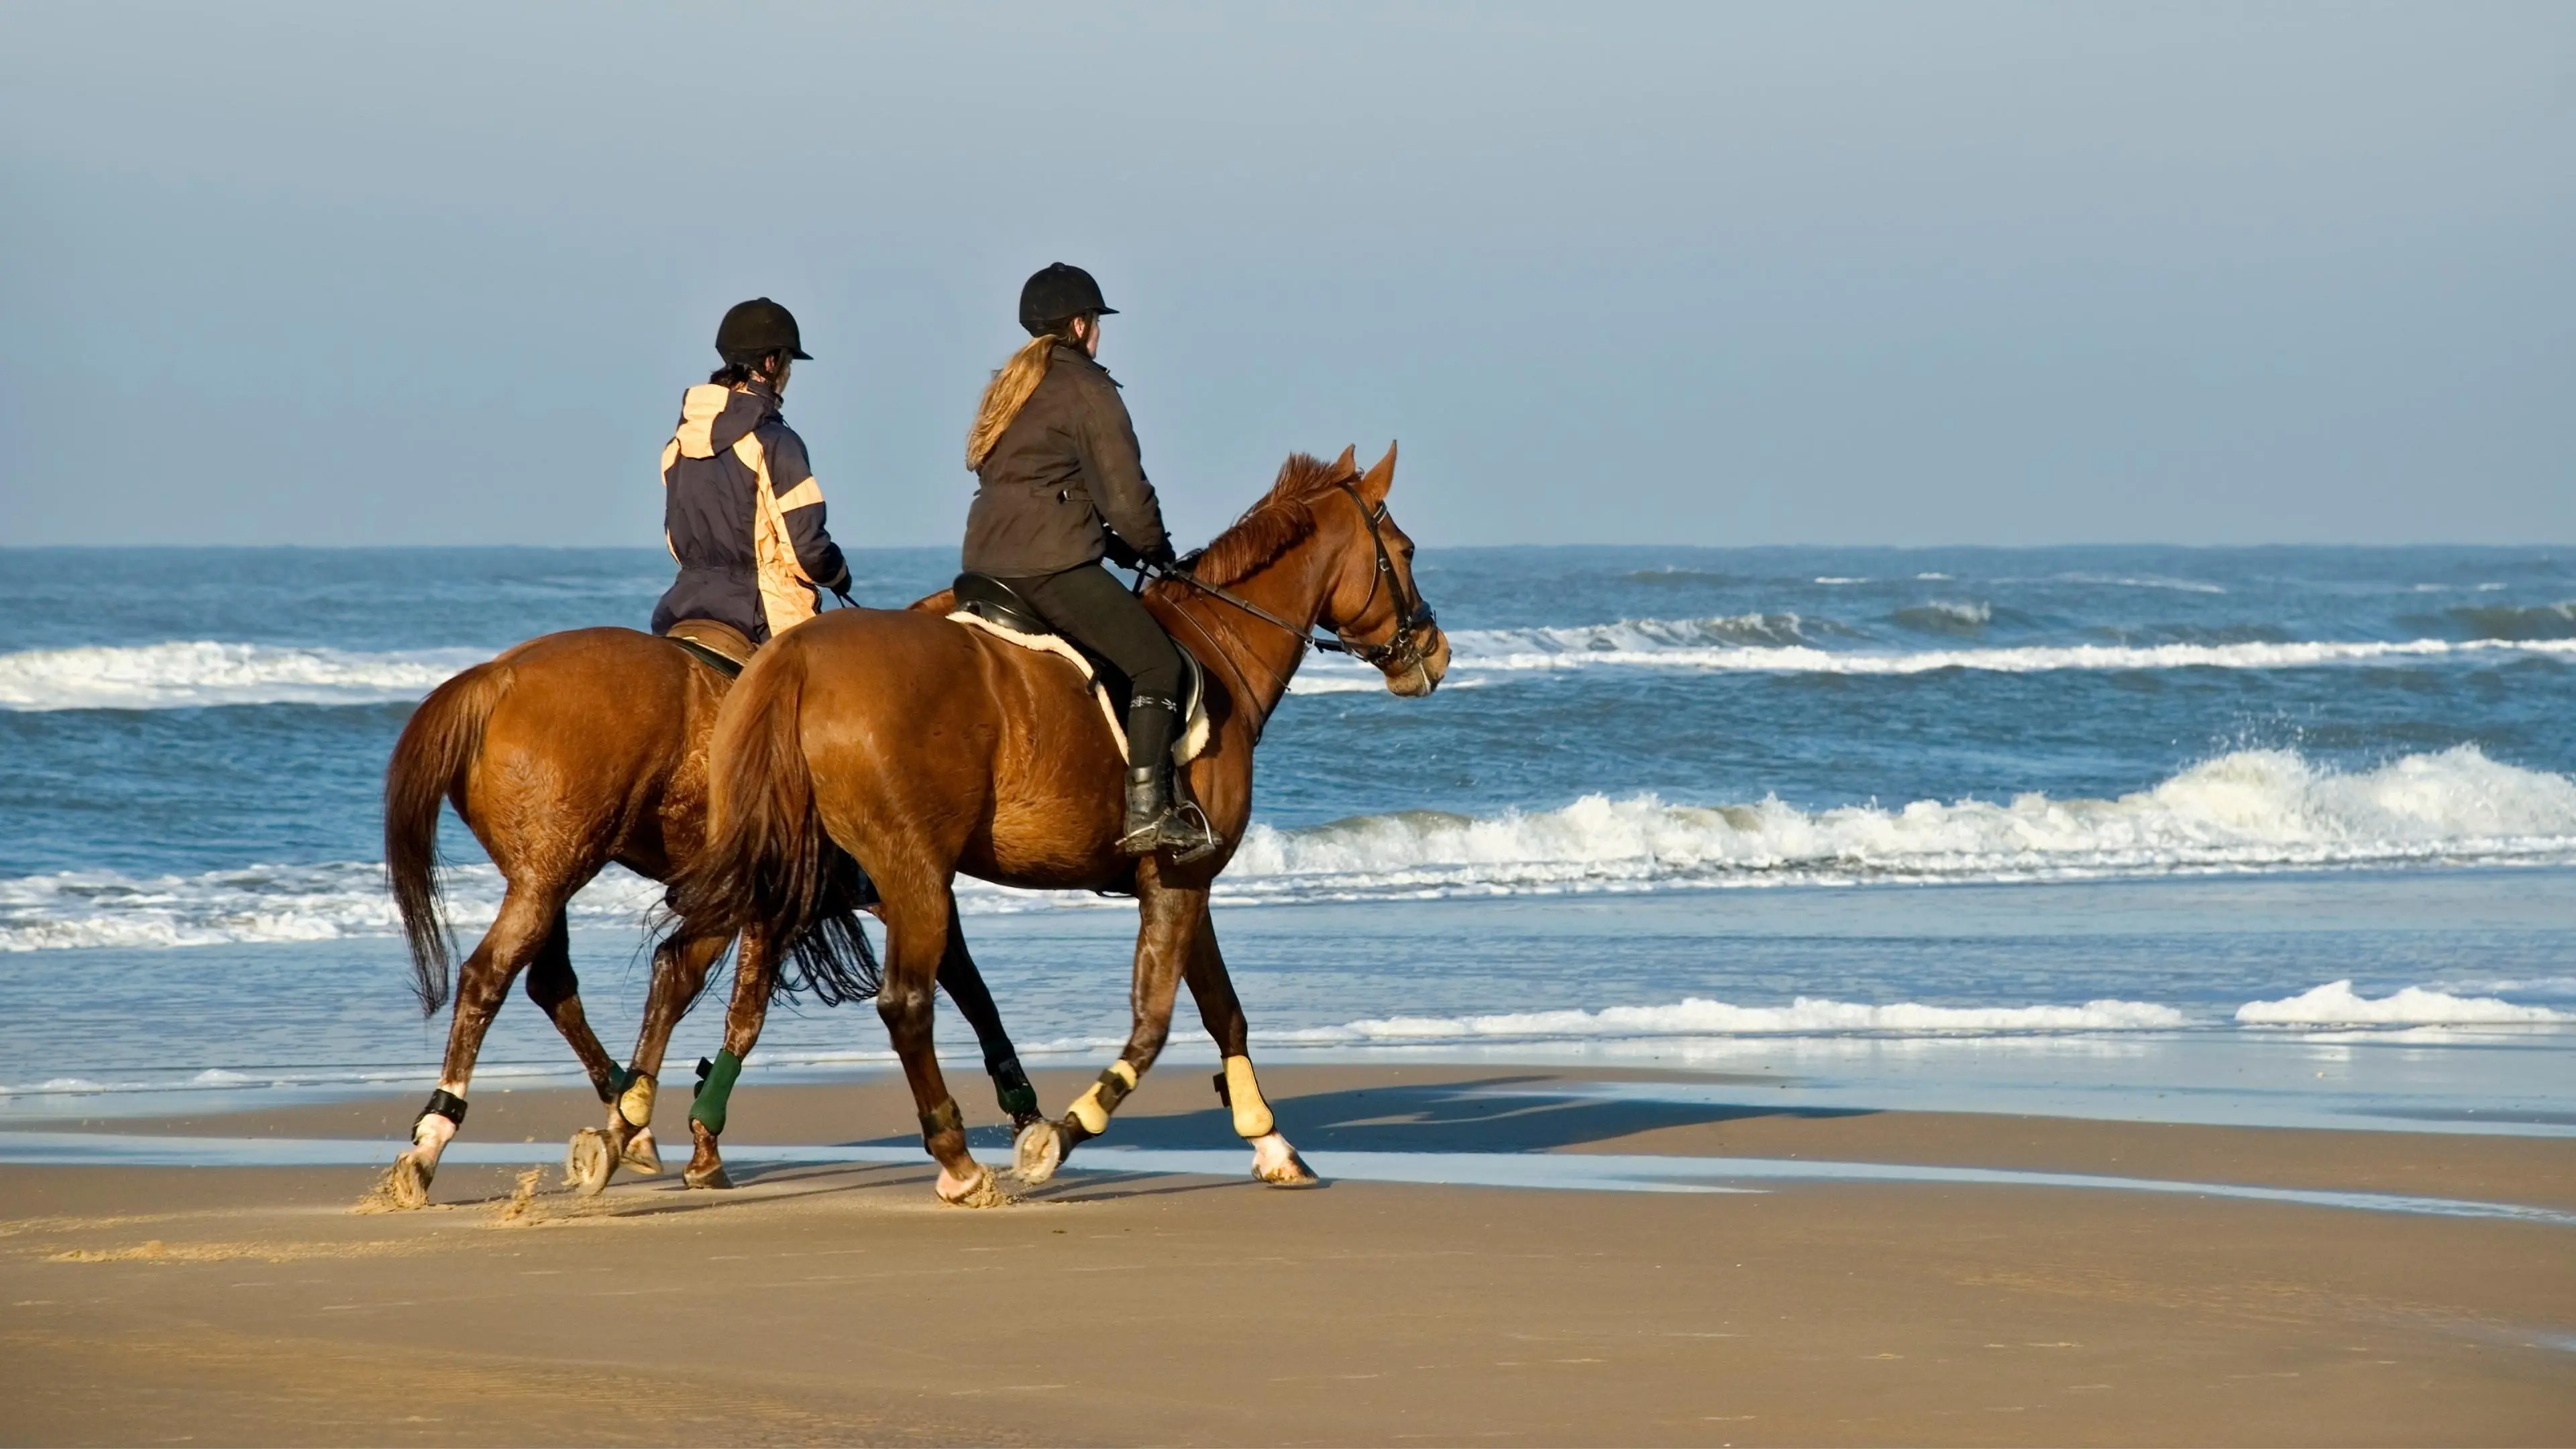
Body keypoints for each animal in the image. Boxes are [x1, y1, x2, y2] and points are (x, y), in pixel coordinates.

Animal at [378, 626, 1035, 1201]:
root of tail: (496, 677)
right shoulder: (891, 884)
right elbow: (963, 986)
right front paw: (1024, 1114)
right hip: (552, 873)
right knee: (489, 976)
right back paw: (434, 1139)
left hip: (544, 876)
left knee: (550, 982)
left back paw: (626, 1120)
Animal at [664, 445, 1452, 1201]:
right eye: (1406, 550)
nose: (1435, 652)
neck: (1220, 643)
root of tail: (798, 657)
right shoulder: (1180, 878)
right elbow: (1153, 1026)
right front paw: (1062, 1136)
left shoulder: (1183, 881)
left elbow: (1224, 1011)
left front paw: (1272, 1143)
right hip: (910, 875)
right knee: (904, 1003)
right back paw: (958, 1165)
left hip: (803, 867)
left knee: (724, 972)